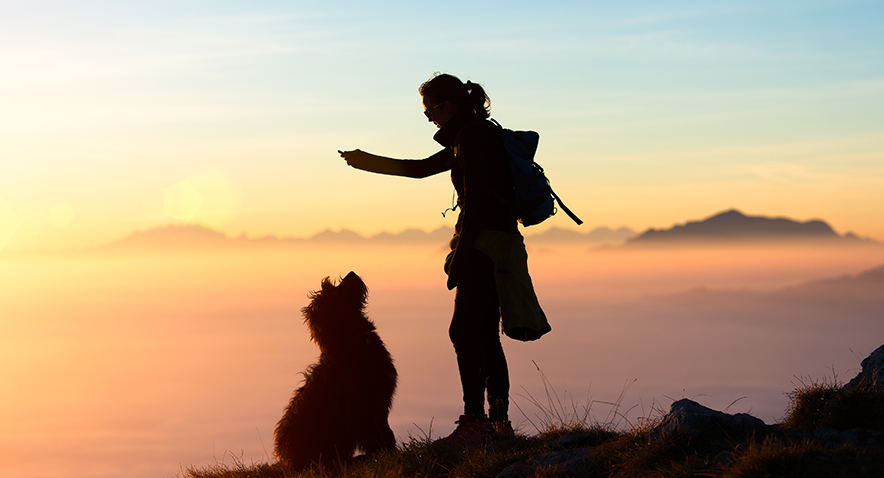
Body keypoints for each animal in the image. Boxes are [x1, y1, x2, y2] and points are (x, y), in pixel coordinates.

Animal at [272, 270, 398, 468]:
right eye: (335, 290)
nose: (352, 272)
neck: (349, 340)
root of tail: (290, 460)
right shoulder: (365, 406)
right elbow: (375, 435)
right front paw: (383, 454)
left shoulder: (379, 404)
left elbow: (384, 431)